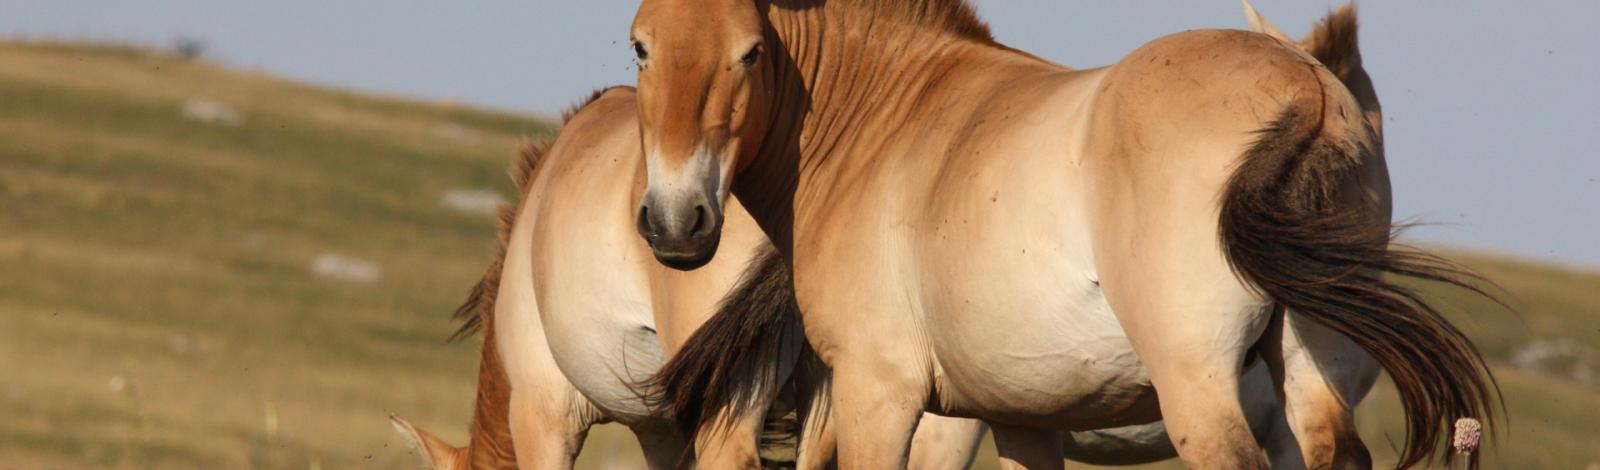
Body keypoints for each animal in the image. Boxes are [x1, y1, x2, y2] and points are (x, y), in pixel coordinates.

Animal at [627, 1, 1497, 466]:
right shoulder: (1023, 417)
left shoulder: (880, 392)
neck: (888, 120)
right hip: (1310, 369)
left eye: (752, 52)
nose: (676, 223)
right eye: (641, 45)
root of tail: (1306, 89)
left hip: (1199, 384)